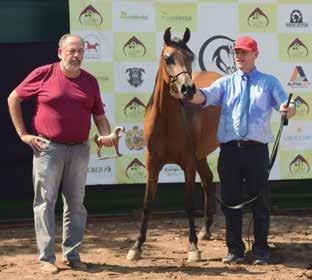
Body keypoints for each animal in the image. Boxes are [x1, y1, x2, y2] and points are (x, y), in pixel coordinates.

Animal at [127, 27, 222, 262]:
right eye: (168, 58)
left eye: (190, 57)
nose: (188, 89)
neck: (167, 122)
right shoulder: (152, 164)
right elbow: (147, 204)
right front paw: (137, 245)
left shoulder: (188, 163)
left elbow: (188, 204)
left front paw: (193, 247)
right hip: (200, 155)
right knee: (208, 180)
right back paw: (205, 230)